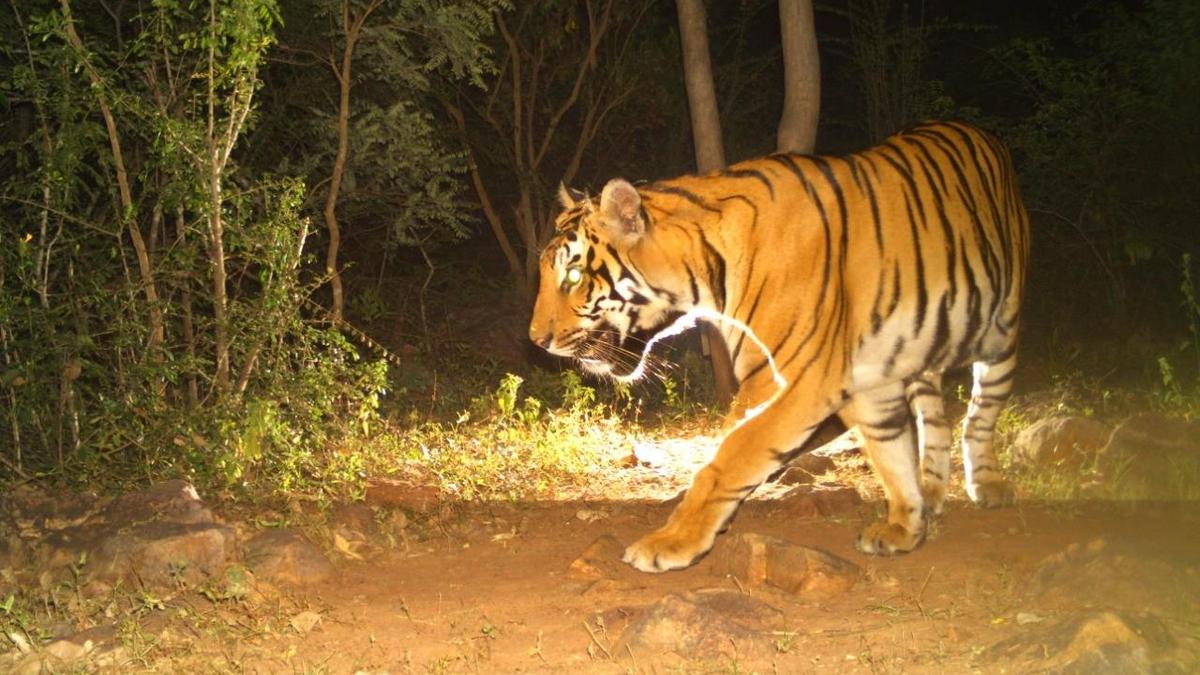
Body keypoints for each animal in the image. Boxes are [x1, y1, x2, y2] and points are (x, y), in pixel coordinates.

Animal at [529, 120, 1030, 573]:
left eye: (573, 275)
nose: (536, 340)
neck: (707, 275)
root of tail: (983, 133)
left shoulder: (794, 380)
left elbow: (727, 460)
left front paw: (670, 542)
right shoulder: (868, 382)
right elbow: (891, 453)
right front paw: (906, 526)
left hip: (1001, 331)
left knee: (980, 414)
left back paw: (989, 486)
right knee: (934, 417)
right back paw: (932, 495)